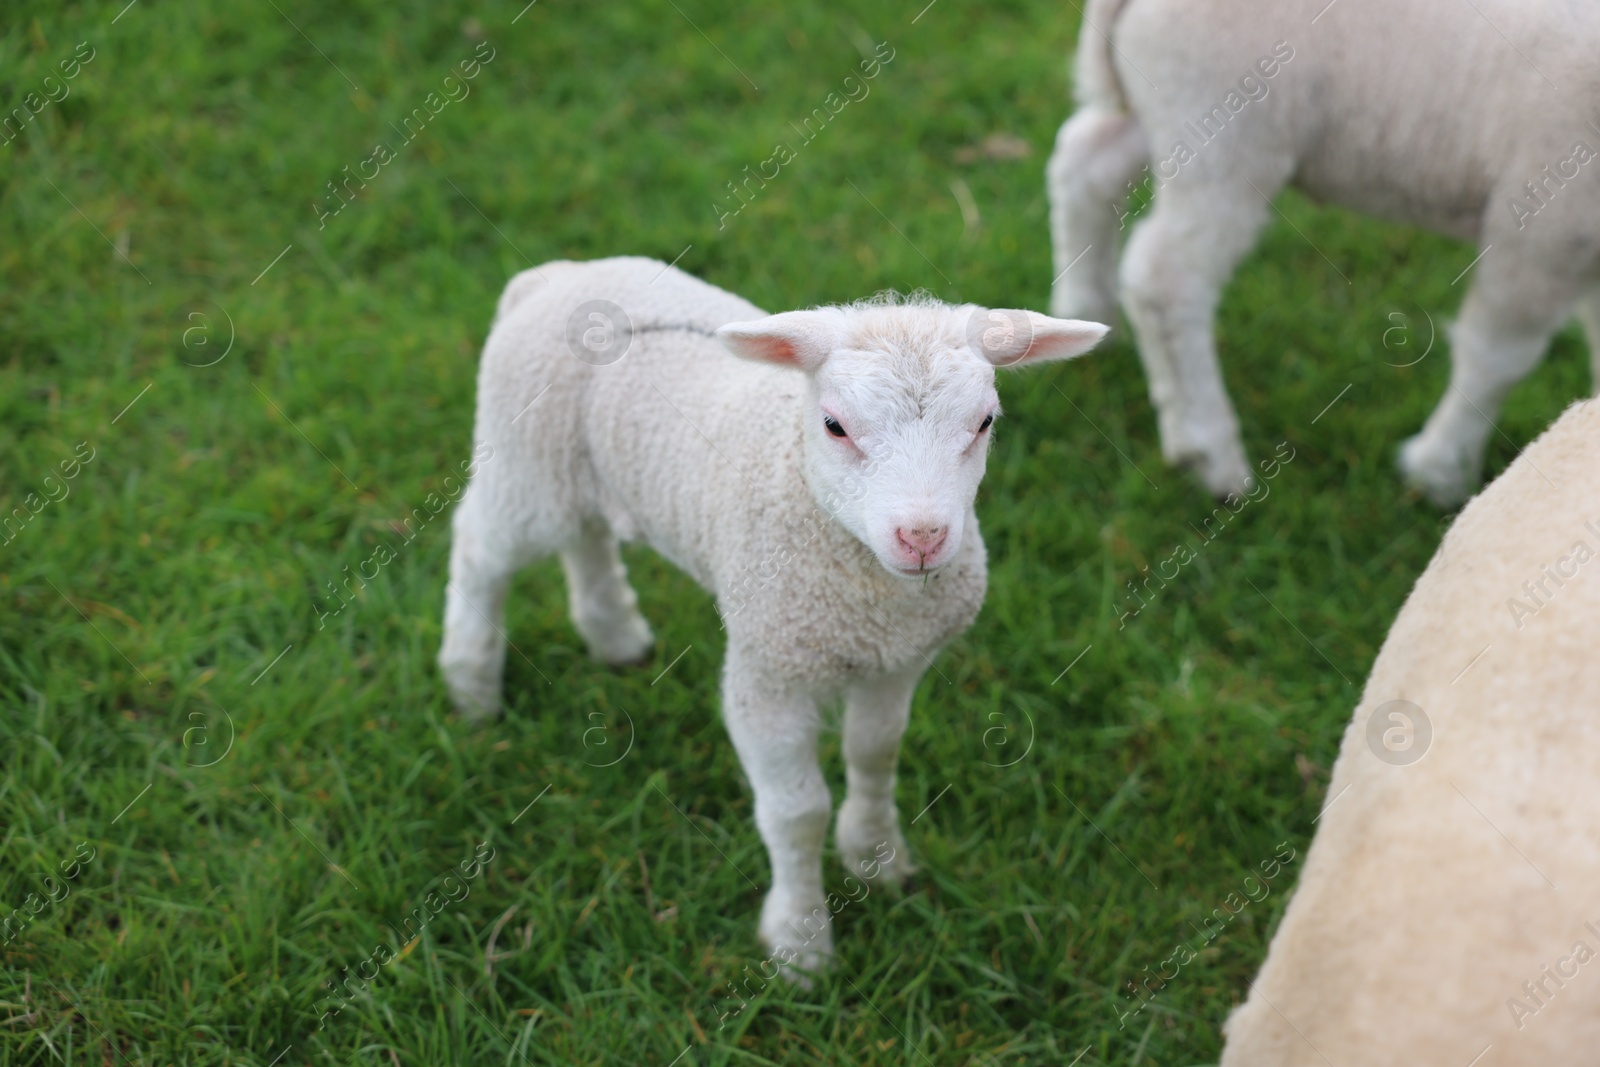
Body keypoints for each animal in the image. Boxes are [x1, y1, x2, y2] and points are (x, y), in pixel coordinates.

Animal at [441, 255, 1113, 966]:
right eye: (835, 425)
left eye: (985, 422)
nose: (923, 537)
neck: (869, 600)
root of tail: (554, 277)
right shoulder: (769, 671)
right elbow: (796, 813)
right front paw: (800, 941)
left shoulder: (897, 663)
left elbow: (875, 756)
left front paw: (876, 859)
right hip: (526, 465)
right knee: (480, 548)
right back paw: (470, 685)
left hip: (581, 473)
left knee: (588, 537)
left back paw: (615, 637)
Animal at [1043, 0, 1600, 508]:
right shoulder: (1544, 226)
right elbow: (1498, 358)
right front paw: (1440, 474)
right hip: (1226, 125)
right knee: (1165, 278)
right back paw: (1209, 453)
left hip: (1165, 109)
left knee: (1085, 162)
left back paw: (1084, 317)